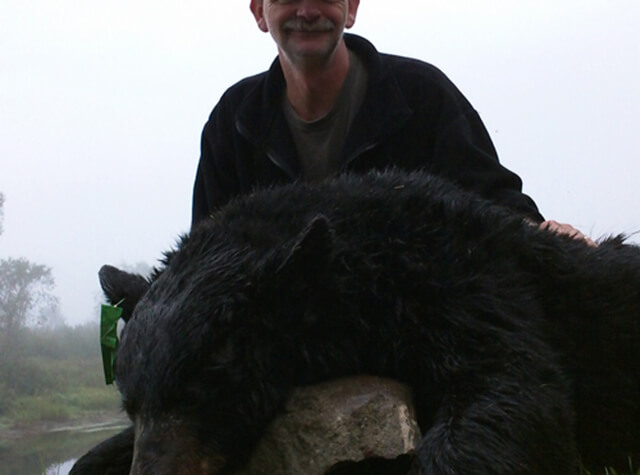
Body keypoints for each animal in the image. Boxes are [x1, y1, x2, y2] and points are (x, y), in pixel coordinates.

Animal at [72, 171, 636, 475]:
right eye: (130, 402)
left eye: (205, 380)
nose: (155, 471)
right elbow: (92, 456)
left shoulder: (472, 286)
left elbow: (518, 390)